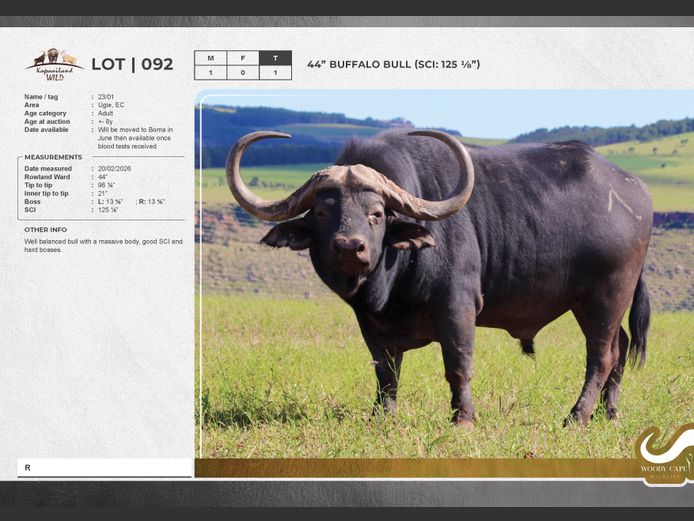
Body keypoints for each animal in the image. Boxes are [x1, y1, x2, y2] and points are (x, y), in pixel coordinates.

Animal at [225, 129, 652, 426]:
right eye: (321, 212)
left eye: (376, 213)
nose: (349, 247)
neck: (393, 280)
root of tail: (637, 194)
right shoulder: (370, 322)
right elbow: (386, 372)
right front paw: (382, 417)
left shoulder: (457, 306)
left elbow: (457, 364)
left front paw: (463, 419)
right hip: (596, 304)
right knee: (620, 348)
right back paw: (609, 415)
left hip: (605, 297)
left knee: (601, 356)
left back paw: (576, 417)